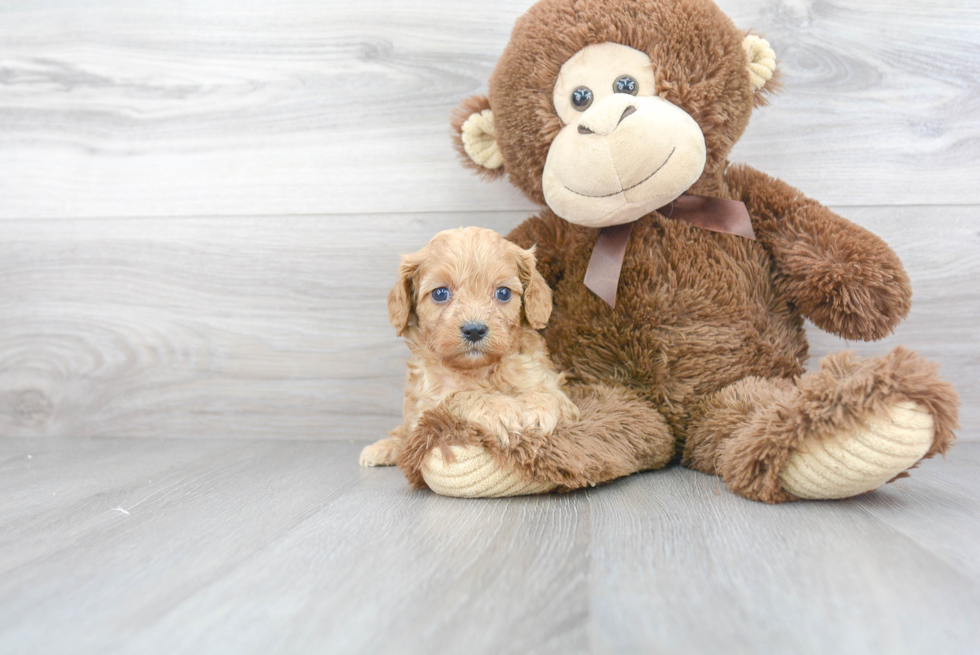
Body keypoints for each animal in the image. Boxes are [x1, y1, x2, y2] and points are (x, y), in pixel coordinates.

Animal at [358, 226, 576, 472]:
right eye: (440, 293)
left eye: (503, 293)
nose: (474, 330)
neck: (479, 369)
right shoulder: (427, 405)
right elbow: (457, 397)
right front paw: (497, 409)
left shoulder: (548, 381)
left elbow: (549, 392)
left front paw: (538, 409)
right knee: (404, 435)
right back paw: (382, 448)